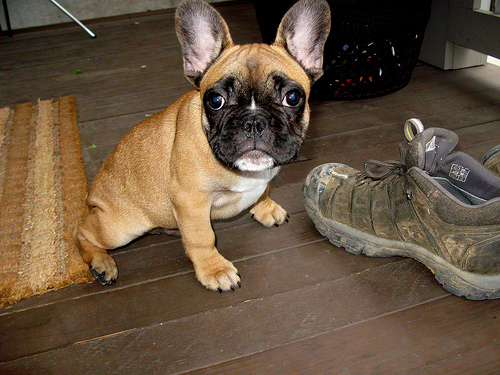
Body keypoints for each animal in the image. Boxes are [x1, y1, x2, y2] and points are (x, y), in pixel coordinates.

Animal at [76, 0, 330, 290]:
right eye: (216, 101)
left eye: (293, 97)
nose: (253, 121)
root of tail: (92, 196)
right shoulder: (190, 200)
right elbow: (202, 239)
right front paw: (214, 270)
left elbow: (263, 191)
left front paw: (265, 207)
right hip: (120, 227)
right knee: (82, 232)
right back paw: (101, 263)